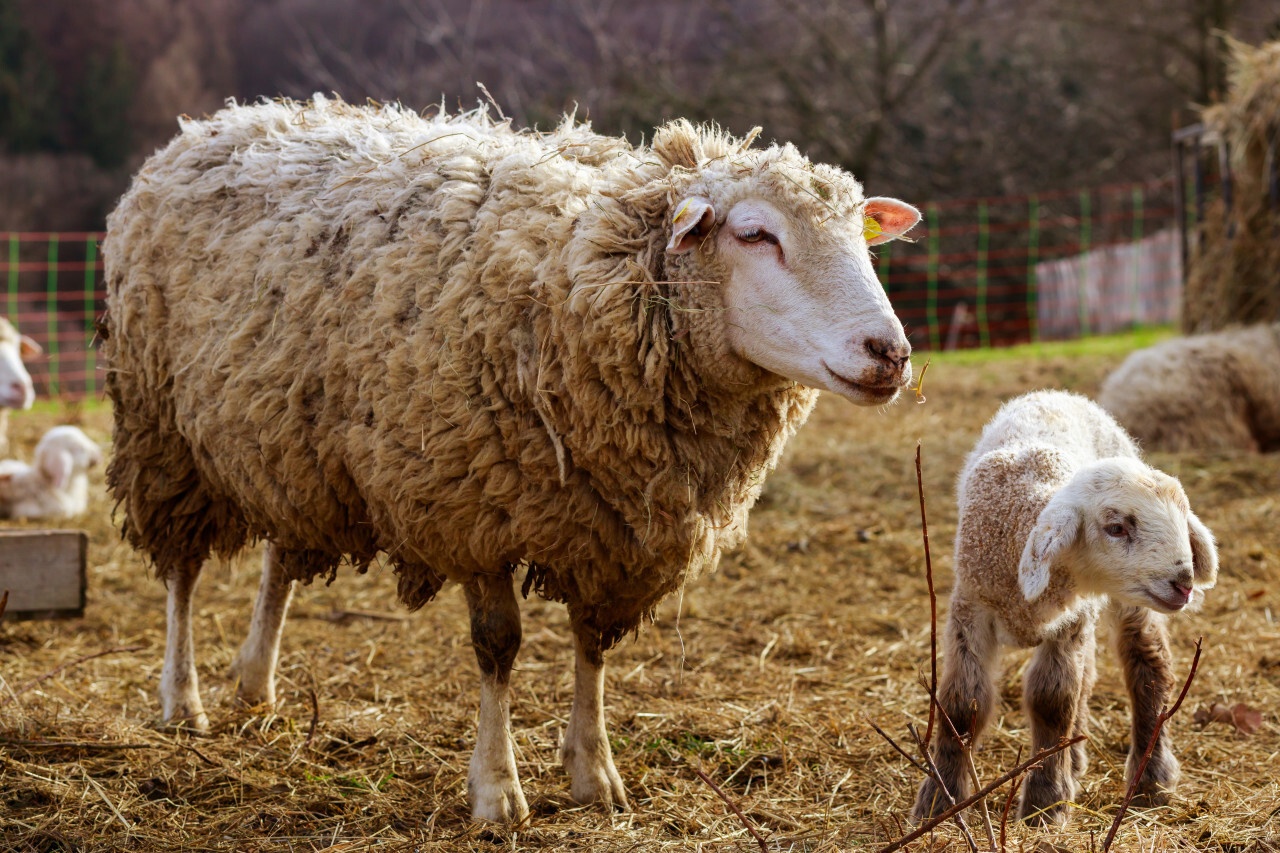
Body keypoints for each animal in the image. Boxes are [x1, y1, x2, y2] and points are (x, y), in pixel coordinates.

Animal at [99, 96, 921, 819]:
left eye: (860, 236)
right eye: (755, 233)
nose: (890, 352)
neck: (584, 283)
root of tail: (220, 121)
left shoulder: (609, 528)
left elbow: (592, 643)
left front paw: (595, 773)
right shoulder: (474, 507)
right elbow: (499, 646)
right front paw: (497, 790)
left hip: (289, 435)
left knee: (279, 554)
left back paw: (255, 682)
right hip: (161, 431)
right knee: (181, 572)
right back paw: (184, 700)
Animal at [911, 389, 1218, 824]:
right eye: (1116, 527)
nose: (1184, 582)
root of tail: (1059, 394)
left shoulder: (1069, 622)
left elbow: (1053, 699)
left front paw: (1044, 804)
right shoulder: (971, 604)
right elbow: (961, 702)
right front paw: (940, 803)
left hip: (1127, 606)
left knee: (1147, 664)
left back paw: (1150, 778)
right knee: (1088, 676)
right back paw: (1074, 760)